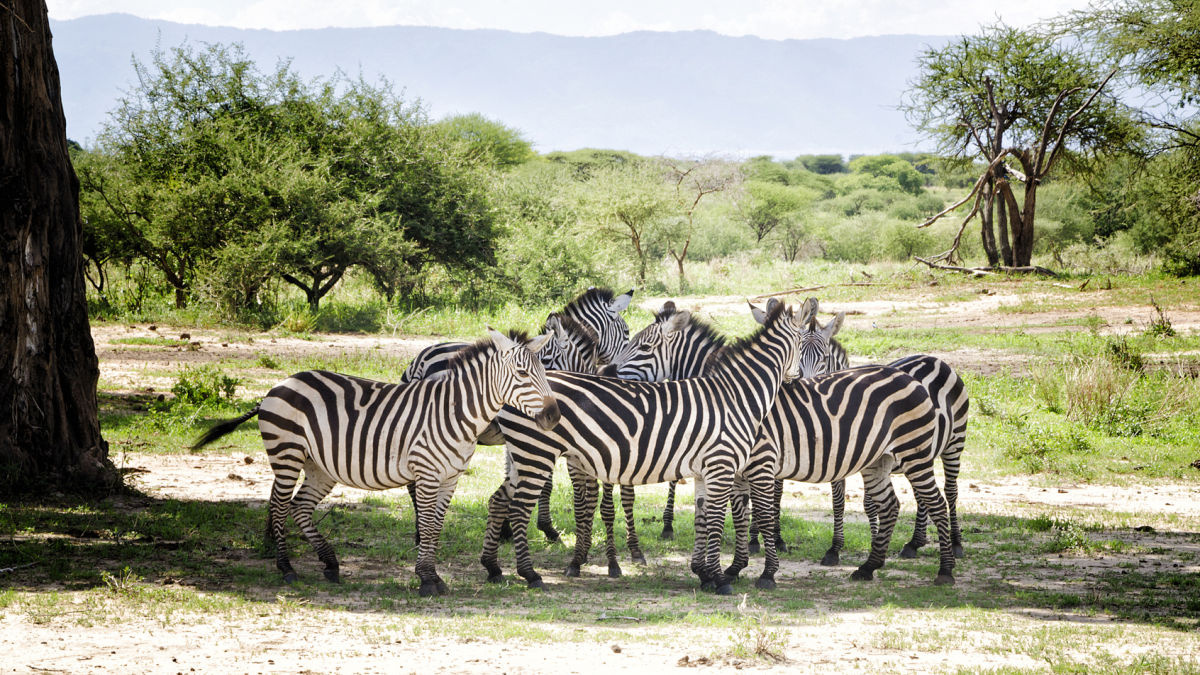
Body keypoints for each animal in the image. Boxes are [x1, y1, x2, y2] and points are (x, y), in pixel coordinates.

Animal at [189, 326, 559, 593]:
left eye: (545, 373)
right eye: (523, 374)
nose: (554, 417)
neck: (454, 411)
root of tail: (279, 385)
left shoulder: (450, 477)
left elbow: (437, 526)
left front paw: (435, 576)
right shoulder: (427, 473)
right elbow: (427, 525)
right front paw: (427, 579)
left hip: (318, 466)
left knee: (299, 506)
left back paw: (331, 564)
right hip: (287, 452)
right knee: (280, 506)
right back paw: (287, 568)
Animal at [480, 302, 816, 590]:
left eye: (643, 347)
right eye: (801, 345)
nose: (798, 380)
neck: (737, 395)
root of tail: (506, 396)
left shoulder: (706, 469)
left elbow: (704, 517)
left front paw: (705, 574)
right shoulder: (724, 464)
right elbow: (722, 519)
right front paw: (723, 579)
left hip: (524, 455)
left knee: (498, 500)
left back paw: (493, 567)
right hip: (536, 455)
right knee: (519, 508)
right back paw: (529, 574)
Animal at [609, 299, 955, 583]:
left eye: (643, 348)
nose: (607, 371)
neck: (733, 394)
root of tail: (911, 375)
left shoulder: (757, 461)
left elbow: (754, 513)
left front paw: (760, 570)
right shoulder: (733, 469)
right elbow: (729, 515)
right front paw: (730, 568)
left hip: (916, 454)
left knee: (936, 502)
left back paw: (945, 570)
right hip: (878, 460)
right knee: (891, 505)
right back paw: (869, 567)